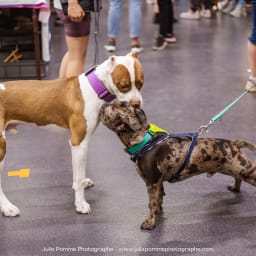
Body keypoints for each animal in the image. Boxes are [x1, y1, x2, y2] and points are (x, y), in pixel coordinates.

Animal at [0, 53, 144, 217]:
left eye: (140, 83)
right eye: (123, 85)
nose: (136, 103)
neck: (95, 88)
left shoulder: (80, 145)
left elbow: (78, 176)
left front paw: (80, 186)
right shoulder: (79, 143)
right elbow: (79, 177)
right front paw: (80, 204)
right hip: (1, 147)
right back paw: (8, 207)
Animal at [98, 101, 256, 230]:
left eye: (118, 106)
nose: (105, 103)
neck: (144, 140)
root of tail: (234, 143)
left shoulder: (152, 183)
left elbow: (152, 203)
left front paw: (150, 222)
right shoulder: (158, 182)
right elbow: (159, 199)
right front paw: (158, 212)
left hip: (245, 170)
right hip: (232, 169)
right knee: (237, 178)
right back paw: (235, 187)